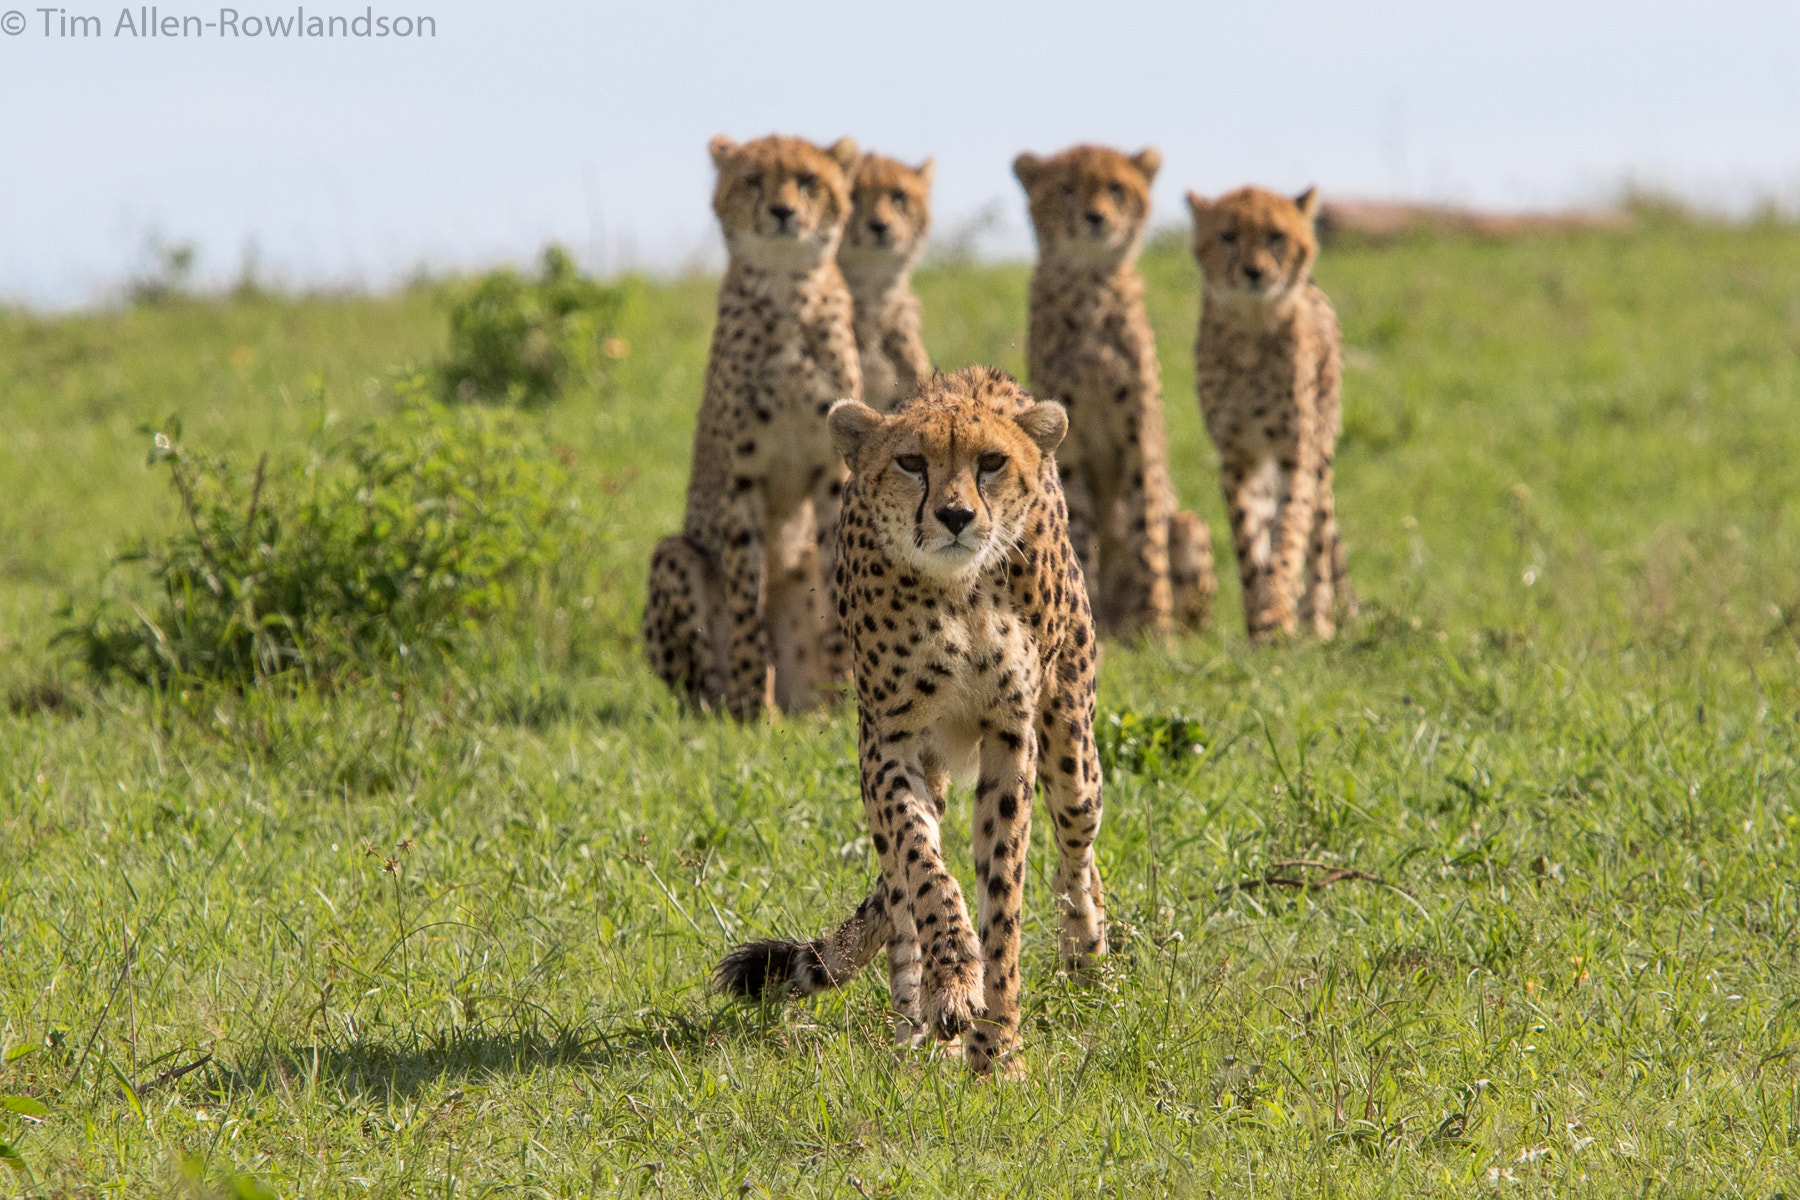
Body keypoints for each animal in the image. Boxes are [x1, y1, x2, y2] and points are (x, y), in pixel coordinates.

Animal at [644, 138, 867, 723]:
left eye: (808, 180)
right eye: (751, 181)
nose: (783, 212)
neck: (788, 291)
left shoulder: (832, 473)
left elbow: (837, 586)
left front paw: (846, 697)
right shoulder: (741, 478)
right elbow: (746, 595)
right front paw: (751, 710)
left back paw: (815, 707)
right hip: (674, 556)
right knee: (696, 686)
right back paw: (728, 706)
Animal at [712, 367, 1101, 1079]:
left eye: (991, 462)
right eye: (912, 463)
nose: (955, 516)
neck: (960, 592)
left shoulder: (1011, 737)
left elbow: (1003, 894)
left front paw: (998, 1050)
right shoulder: (887, 743)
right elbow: (926, 870)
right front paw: (955, 989)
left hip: (1073, 750)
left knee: (1077, 852)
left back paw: (1089, 962)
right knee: (898, 895)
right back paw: (914, 1031)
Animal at [1022, 143, 1216, 636]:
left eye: (1115, 188)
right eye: (1067, 189)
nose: (1095, 217)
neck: (1090, 288)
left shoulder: (1138, 439)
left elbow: (1145, 534)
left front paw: (1158, 629)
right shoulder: (1068, 445)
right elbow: (1081, 531)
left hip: (1190, 524)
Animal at [1188, 184, 1353, 644]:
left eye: (1276, 237)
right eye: (1227, 236)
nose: (1254, 272)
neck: (1251, 326)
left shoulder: (1294, 453)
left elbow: (1290, 529)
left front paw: (1279, 609)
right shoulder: (1238, 457)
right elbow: (1248, 540)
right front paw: (1259, 621)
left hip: (1321, 451)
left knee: (1319, 537)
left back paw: (1317, 623)